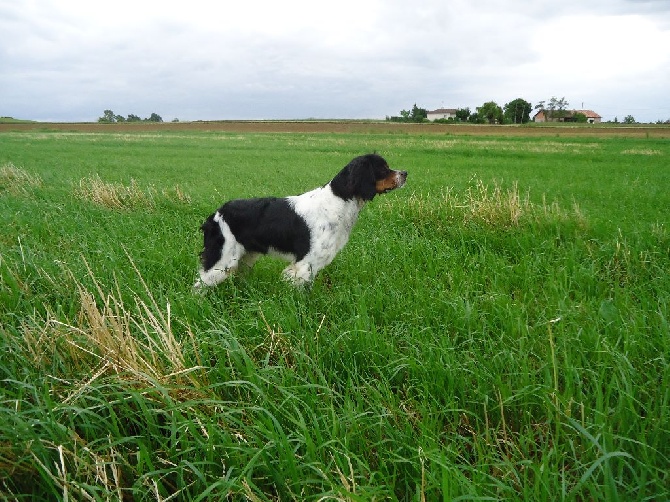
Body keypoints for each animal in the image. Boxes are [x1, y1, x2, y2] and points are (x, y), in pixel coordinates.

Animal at [192, 153, 406, 288]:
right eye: (384, 168)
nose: (405, 173)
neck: (338, 200)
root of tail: (215, 214)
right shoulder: (306, 263)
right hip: (223, 259)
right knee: (199, 285)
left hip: (245, 257)